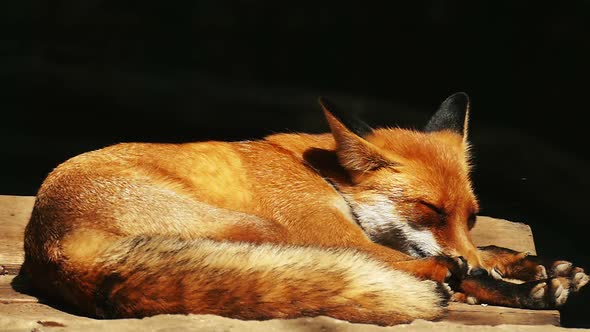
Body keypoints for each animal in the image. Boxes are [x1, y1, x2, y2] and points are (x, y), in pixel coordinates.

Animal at [22, 92, 588, 326]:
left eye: (470, 215)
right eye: (427, 209)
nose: (465, 254)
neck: (325, 173)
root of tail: (50, 247)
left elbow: (485, 251)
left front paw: (535, 264)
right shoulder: (331, 232)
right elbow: (451, 265)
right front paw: (527, 285)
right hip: (268, 228)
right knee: (426, 272)